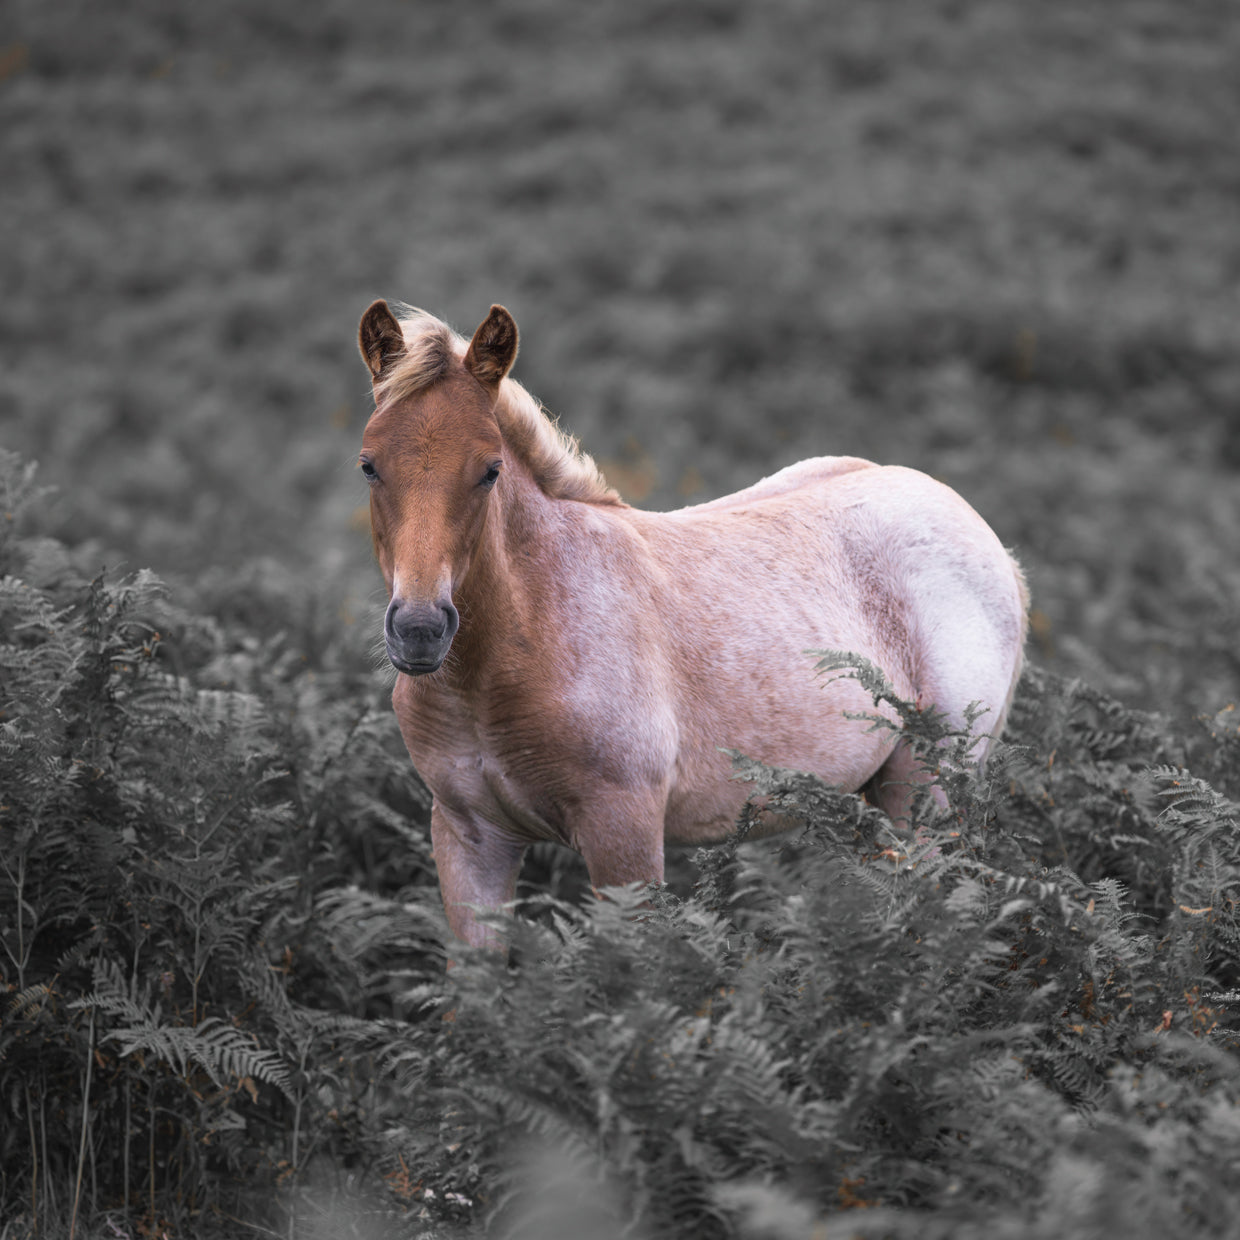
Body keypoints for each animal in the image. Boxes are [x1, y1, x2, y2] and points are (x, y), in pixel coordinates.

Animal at [356, 300, 1029, 948]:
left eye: (491, 469)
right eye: (368, 465)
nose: (420, 629)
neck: (515, 651)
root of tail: (985, 536)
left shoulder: (623, 835)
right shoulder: (469, 840)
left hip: (926, 797)